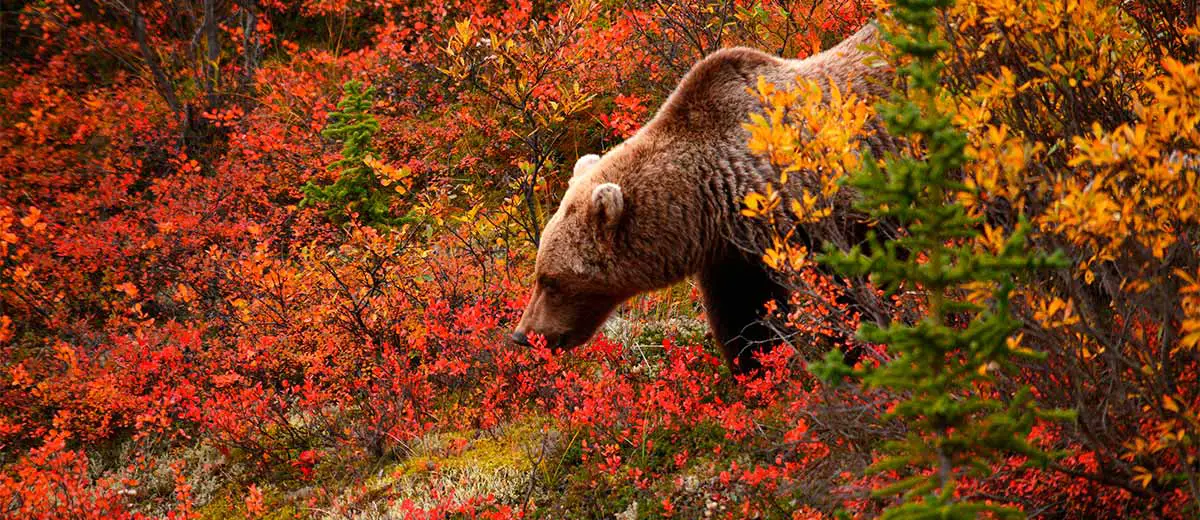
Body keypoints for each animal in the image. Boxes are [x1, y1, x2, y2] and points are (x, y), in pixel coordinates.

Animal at [506, 23, 892, 372]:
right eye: (539, 274)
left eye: (552, 281)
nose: (524, 335)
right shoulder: (733, 257)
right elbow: (742, 318)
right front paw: (754, 372)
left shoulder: (817, 218)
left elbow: (846, 296)